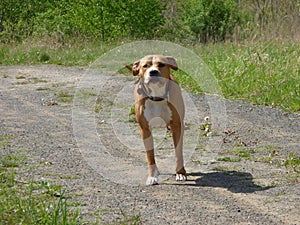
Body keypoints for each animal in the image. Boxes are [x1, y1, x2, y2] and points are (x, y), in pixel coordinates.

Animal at [125, 54, 186, 185]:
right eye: (145, 66)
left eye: (161, 64)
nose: (153, 72)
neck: (157, 96)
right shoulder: (145, 129)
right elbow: (150, 155)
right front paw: (152, 176)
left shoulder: (177, 126)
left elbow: (178, 152)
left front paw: (180, 173)